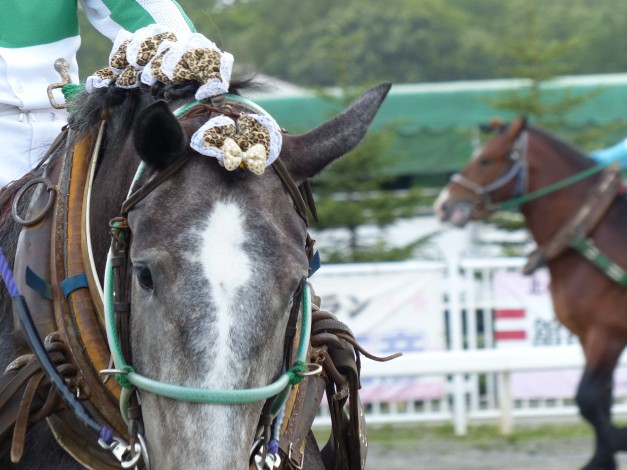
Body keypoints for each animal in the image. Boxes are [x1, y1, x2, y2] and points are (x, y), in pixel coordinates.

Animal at [434, 115, 627, 468]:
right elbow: (600, 401)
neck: (591, 237)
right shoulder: (587, 336)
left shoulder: (607, 334)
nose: (443, 204)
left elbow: (588, 398)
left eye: (485, 160)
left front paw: (620, 440)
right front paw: (601, 458)